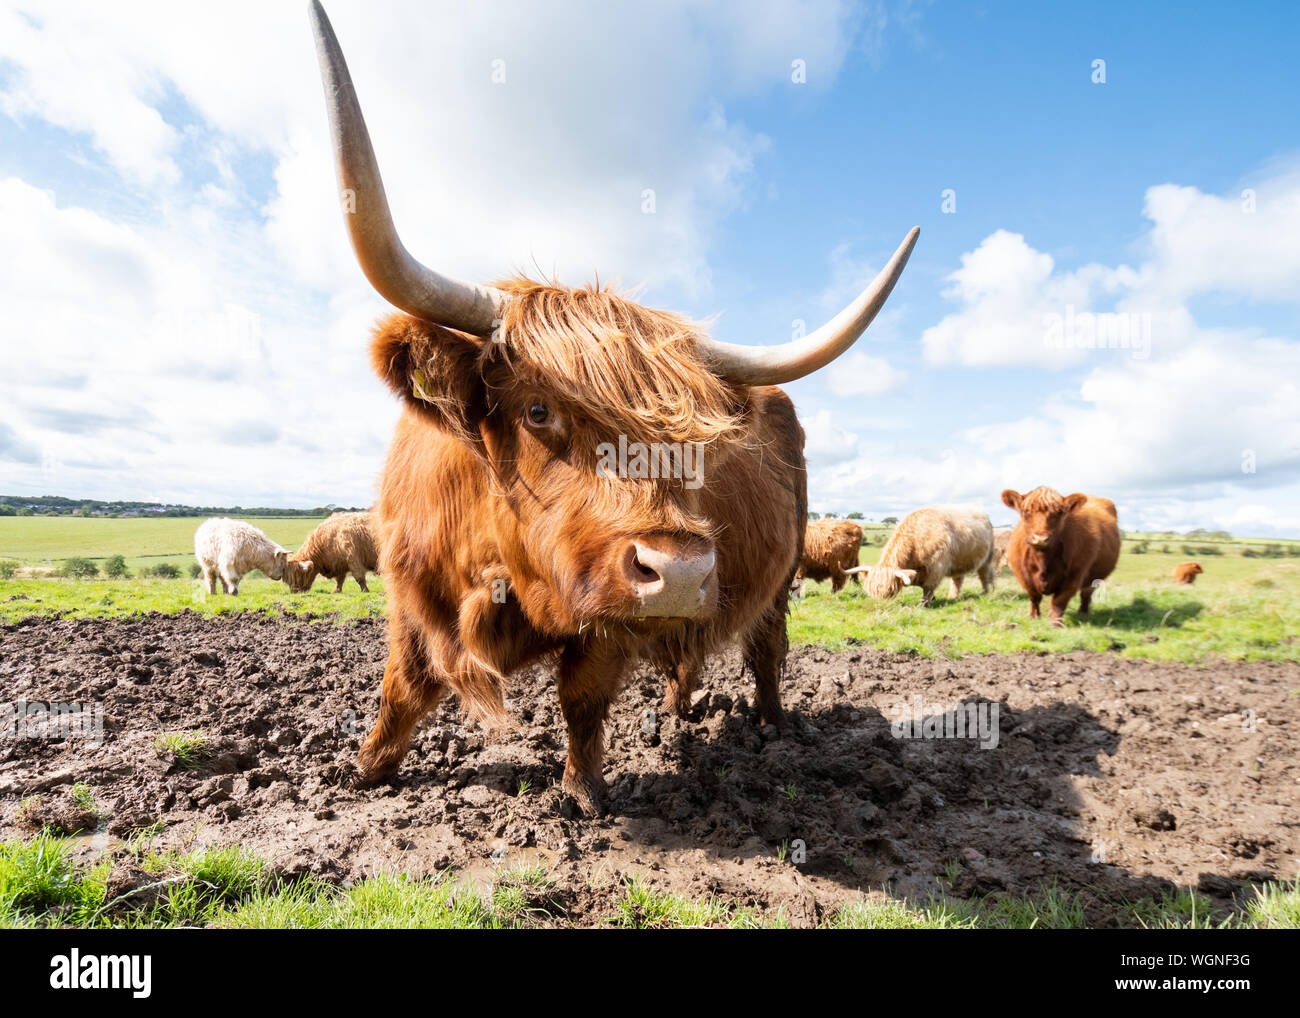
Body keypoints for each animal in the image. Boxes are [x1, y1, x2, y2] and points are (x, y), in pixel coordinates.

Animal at [306, 0, 915, 811]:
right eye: (537, 411)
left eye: (696, 439)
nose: (682, 571)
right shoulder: (409, 593)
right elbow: (401, 689)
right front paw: (366, 772)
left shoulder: (606, 624)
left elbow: (584, 697)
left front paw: (582, 793)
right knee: (688, 657)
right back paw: (680, 713)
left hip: (779, 578)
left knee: (765, 648)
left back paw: (771, 728)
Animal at [842, 507, 993, 608]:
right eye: (870, 592)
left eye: (890, 592)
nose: (879, 607)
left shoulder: (936, 568)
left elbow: (928, 588)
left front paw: (924, 604)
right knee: (957, 579)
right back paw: (953, 596)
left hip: (987, 558)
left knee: (984, 576)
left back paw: (985, 593)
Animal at [998, 483, 1123, 621]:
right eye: (1025, 511)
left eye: (1059, 513)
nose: (1040, 538)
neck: (1043, 561)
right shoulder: (1024, 576)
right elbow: (1034, 597)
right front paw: (1034, 616)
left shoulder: (1074, 576)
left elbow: (1059, 602)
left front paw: (1056, 622)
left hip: (1094, 577)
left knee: (1086, 594)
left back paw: (1083, 612)